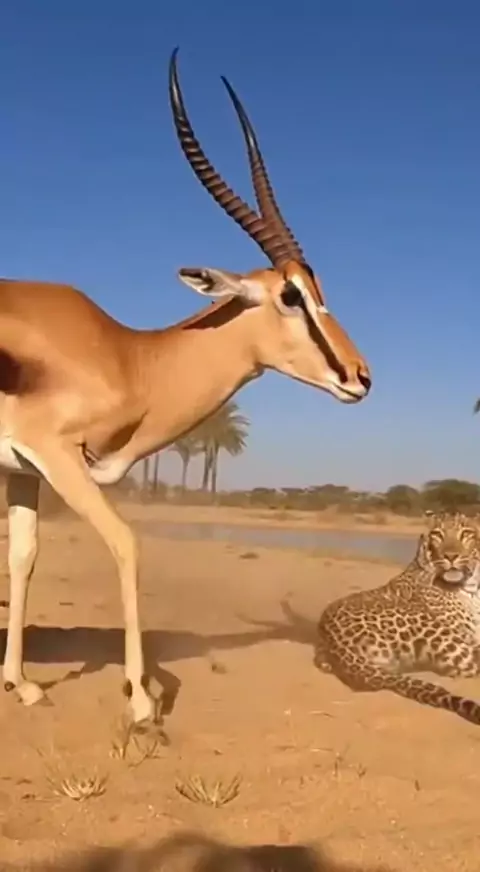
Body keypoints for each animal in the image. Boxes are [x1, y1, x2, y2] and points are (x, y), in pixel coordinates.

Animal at [0, 48, 371, 729]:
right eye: (290, 295)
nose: (360, 376)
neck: (128, 355)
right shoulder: (57, 456)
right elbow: (126, 544)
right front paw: (143, 700)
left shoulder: (23, 471)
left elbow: (25, 555)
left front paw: (23, 684)